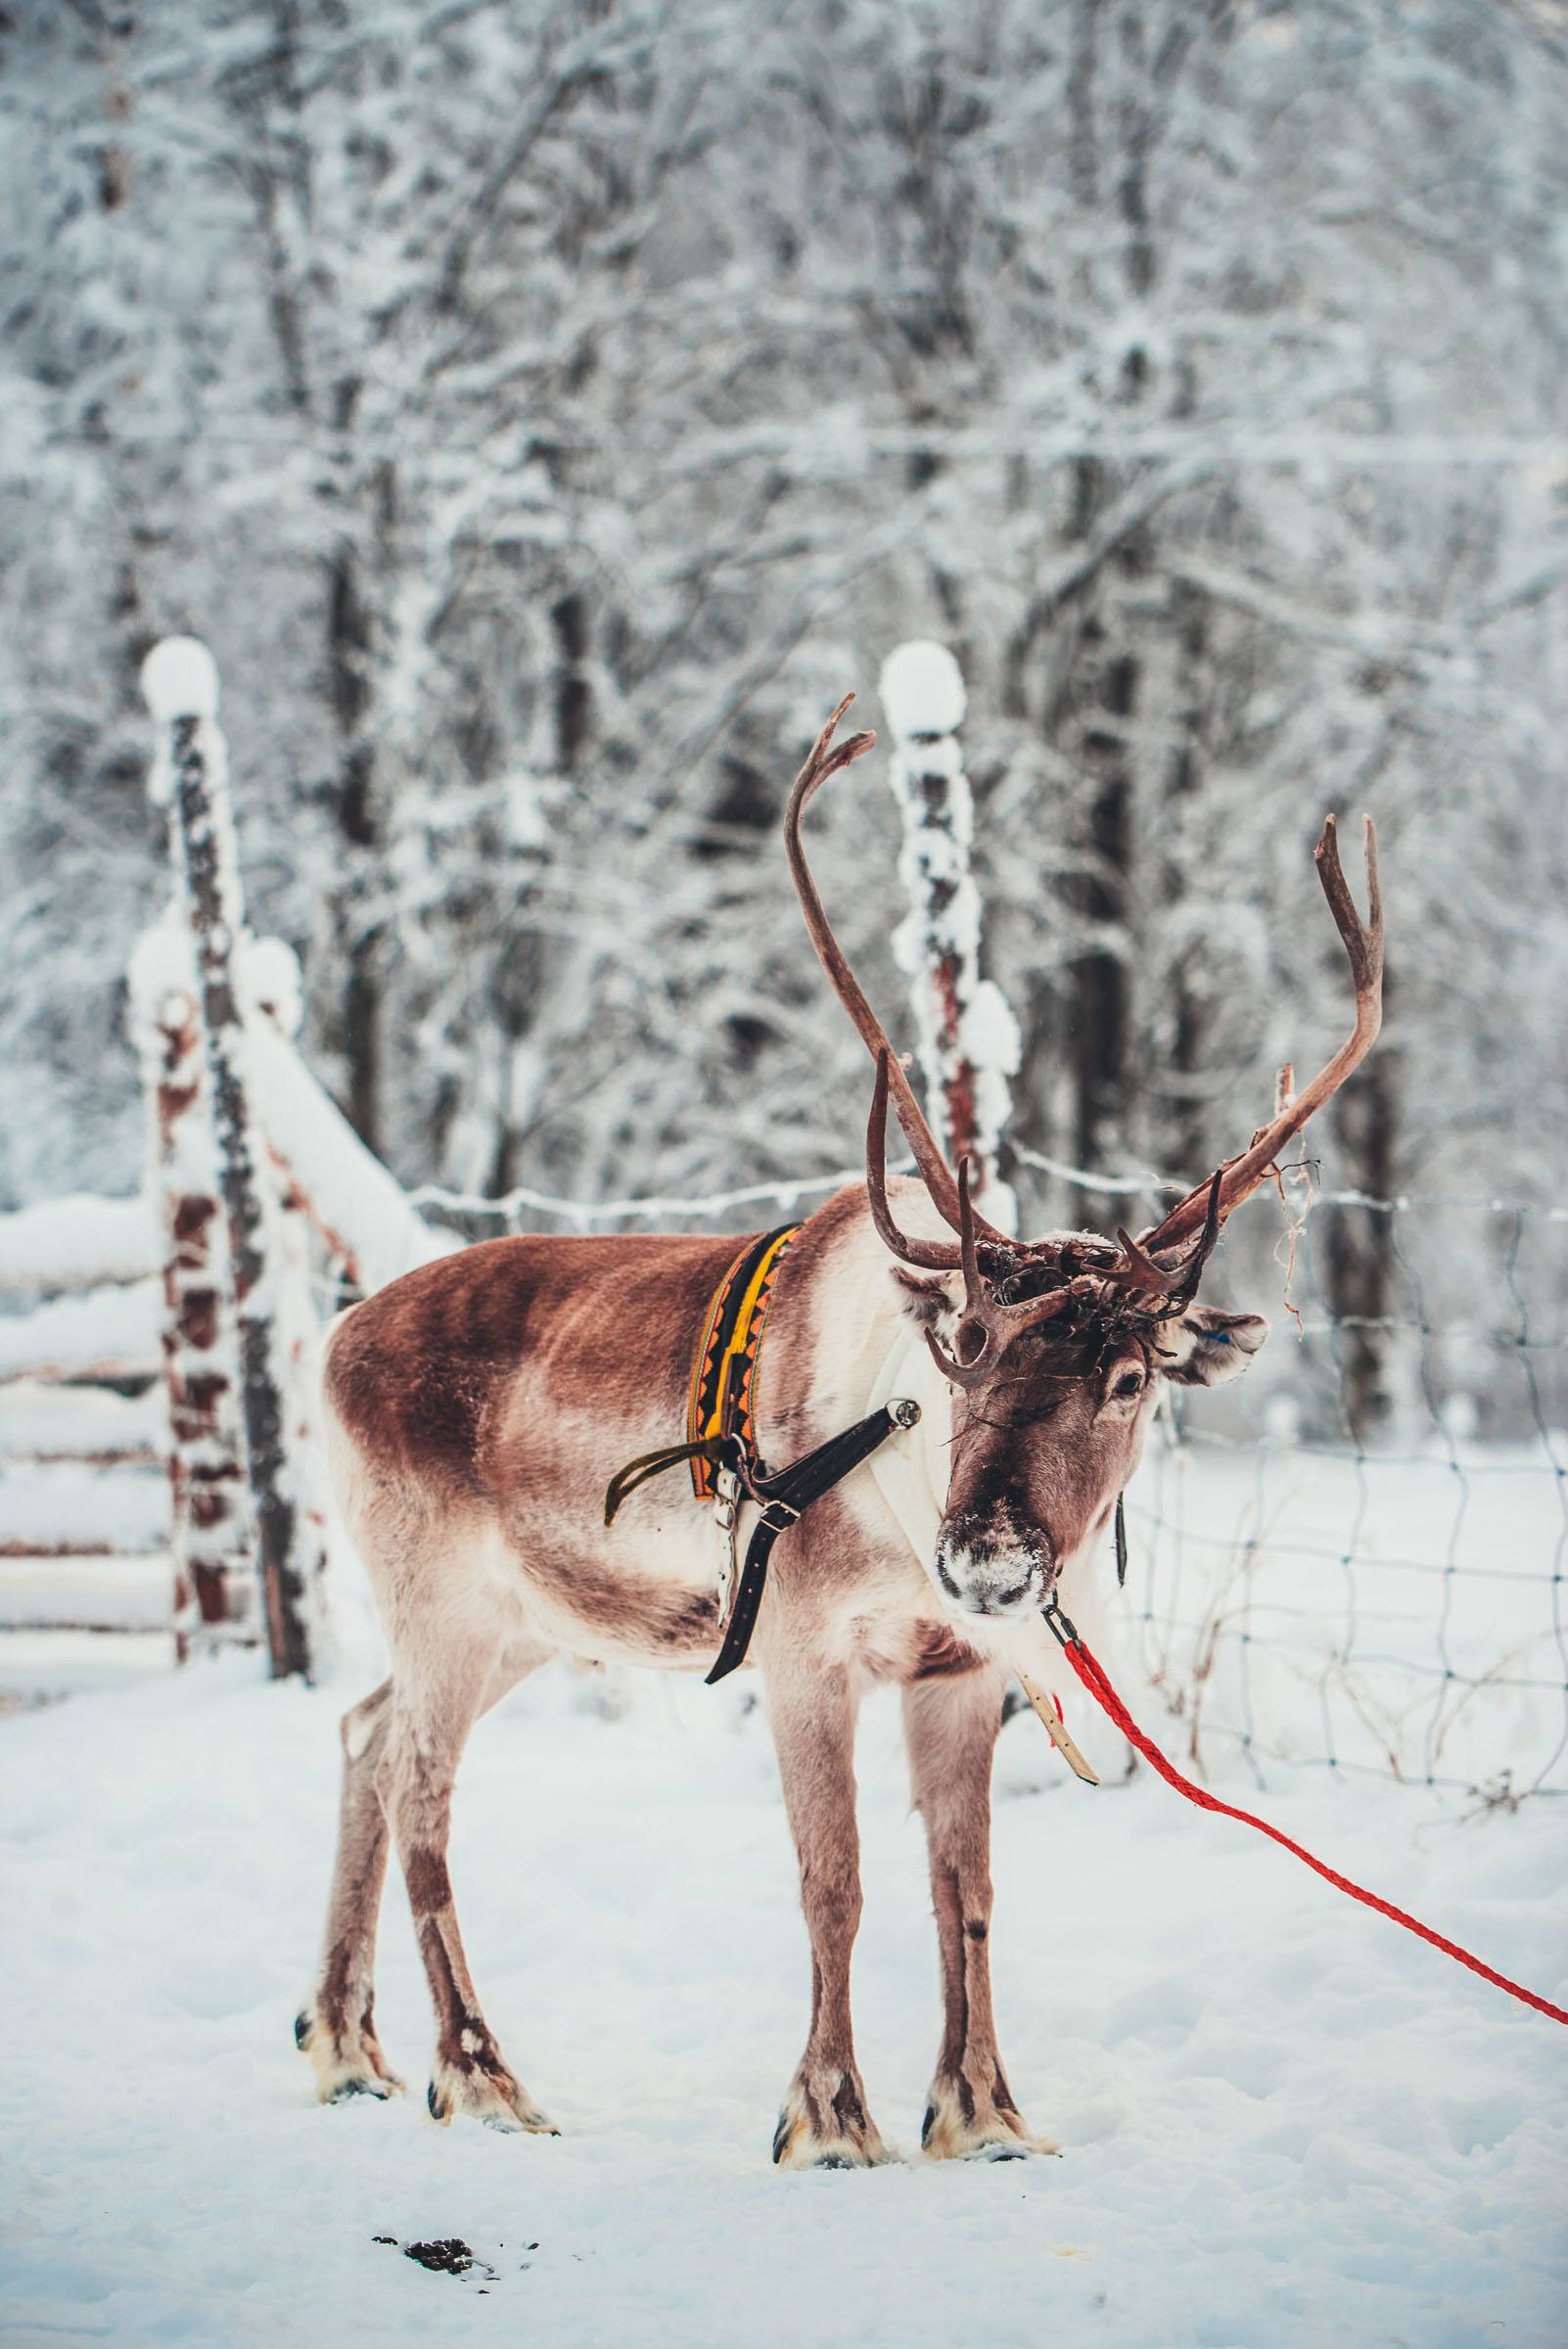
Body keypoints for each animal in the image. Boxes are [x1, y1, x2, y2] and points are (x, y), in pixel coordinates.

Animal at [297, 696, 1384, 2168]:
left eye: (1129, 1379)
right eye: (964, 1351)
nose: (988, 1560)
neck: (905, 1497)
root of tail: (335, 1339)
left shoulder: (954, 1671)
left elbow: (963, 1886)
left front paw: (982, 2113)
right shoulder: (803, 1655)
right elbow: (836, 1882)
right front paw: (827, 2116)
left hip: (520, 1620)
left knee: (360, 1734)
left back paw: (344, 2045)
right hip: (440, 1599)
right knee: (418, 1791)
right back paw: (477, 2074)